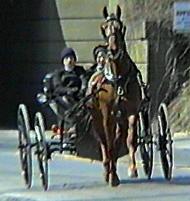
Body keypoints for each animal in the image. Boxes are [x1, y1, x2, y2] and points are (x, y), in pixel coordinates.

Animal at [89, 5, 142, 187]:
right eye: (104, 27)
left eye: (120, 27)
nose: (112, 49)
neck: (118, 77)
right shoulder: (107, 115)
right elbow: (110, 144)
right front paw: (112, 176)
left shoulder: (132, 111)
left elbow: (130, 140)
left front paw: (132, 169)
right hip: (97, 117)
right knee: (103, 141)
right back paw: (107, 170)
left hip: (120, 118)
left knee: (118, 139)